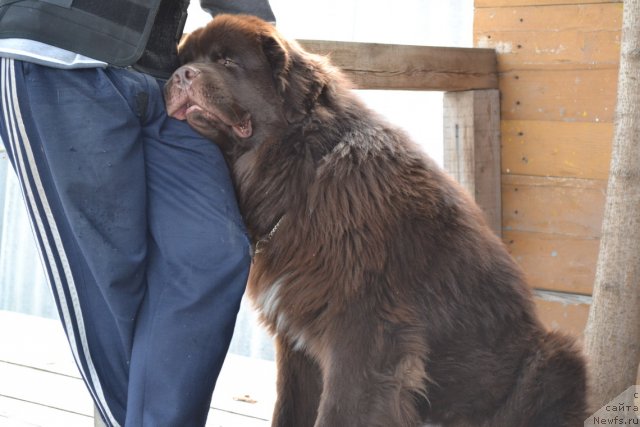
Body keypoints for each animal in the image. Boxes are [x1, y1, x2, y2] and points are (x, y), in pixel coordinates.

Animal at [164, 13, 584, 427]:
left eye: (227, 62)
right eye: (185, 59)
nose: (182, 74)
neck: (300, 169)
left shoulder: (365, 331)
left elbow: (340, 410)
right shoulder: (296, 335)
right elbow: (291, 408)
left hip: (552, 360)